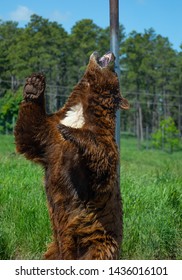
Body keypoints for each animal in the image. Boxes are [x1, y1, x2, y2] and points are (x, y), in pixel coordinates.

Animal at [14, 51, 130, 260]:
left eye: (116, 72)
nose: (113, 54)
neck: (82, 107)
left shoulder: (102, 140)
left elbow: (103, 164)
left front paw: (69, 131)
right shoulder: (50, 139)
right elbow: (31, 133)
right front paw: (34, 85)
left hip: (99, 241)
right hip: (54, 248)